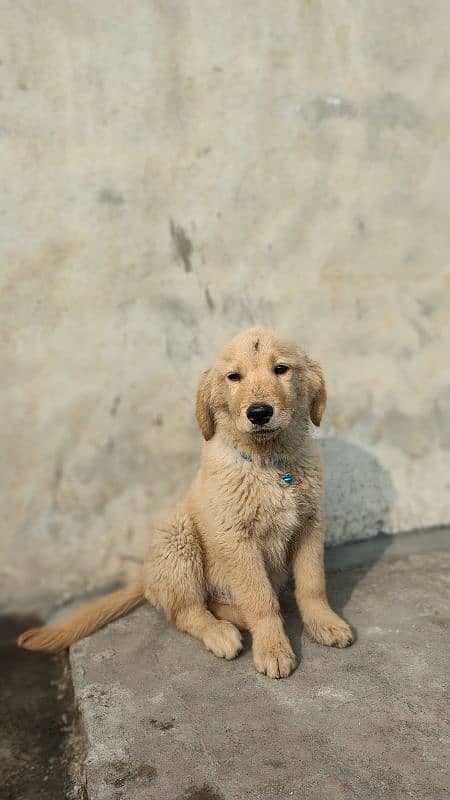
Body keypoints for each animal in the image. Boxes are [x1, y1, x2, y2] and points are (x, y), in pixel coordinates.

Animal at [19, 328, 354, 680]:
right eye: (234, 377)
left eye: (281, 369)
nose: (259, 413)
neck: (269, 463)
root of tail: (145, 576)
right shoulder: (238, 540)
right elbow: (260, 600)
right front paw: (273, 648)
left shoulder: (309, 524)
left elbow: (312, 585)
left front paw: (325, 623)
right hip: (178, 539)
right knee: (187, 611)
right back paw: (221, 632)